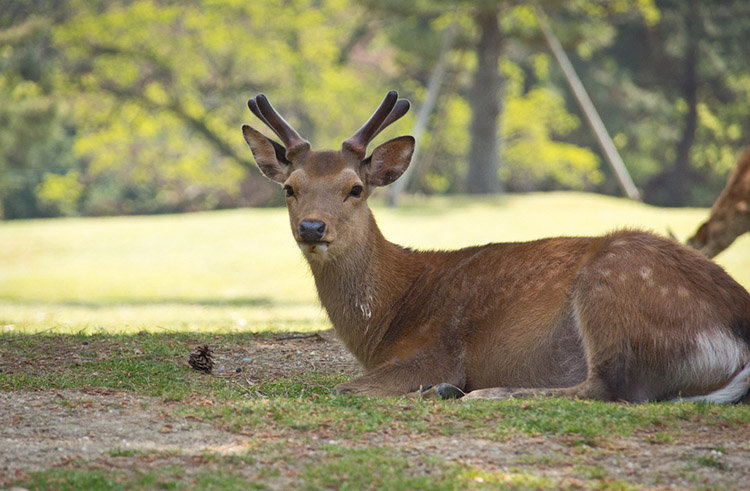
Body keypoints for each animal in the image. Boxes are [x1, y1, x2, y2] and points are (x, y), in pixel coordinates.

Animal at [242, 91, 750, 404]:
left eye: (354, 188)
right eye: (289, 187)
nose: (312, 227)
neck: (388, 318)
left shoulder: (436, 351)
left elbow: (343, 389)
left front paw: (440, 388)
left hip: (614, 287)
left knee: (606, 387)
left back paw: (476, 394)